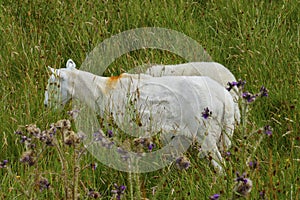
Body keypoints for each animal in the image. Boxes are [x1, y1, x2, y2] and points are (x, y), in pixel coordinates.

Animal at [45, 59, 237, 172]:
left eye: (53, 83)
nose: (46, 106)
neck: (101, 90)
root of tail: (226, 101)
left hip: (207, 135)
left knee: (220, 166)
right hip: (224, 134)